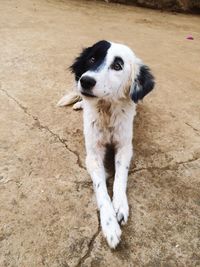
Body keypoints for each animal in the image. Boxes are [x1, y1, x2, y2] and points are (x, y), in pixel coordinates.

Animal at [57, 40, 155, 249]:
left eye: (117, 66)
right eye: (92, 58)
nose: (85, 81)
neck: (107, 111)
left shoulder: (125, 147)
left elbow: (120, 177)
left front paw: (120, 205)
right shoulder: (93, 154)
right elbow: (101, 188)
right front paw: (109, 224)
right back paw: (79, 104)